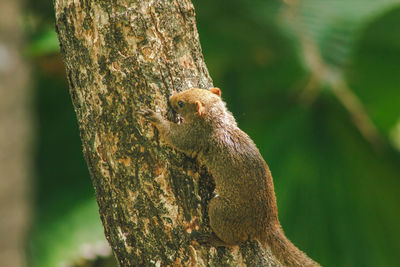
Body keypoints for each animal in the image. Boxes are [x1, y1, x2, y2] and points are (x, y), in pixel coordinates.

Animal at [140, 89, 318, 266]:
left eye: (181, 103)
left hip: (221, 212)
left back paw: (214, 239)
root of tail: (266, 223)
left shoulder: (196, 136)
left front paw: (155, 117)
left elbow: (176, 138)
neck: (218, 120)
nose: (171, 98)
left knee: (233, 240)